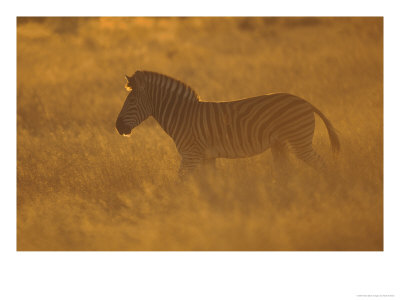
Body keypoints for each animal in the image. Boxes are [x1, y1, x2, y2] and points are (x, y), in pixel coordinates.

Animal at [116, 71, 340, 176]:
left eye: (132, 100)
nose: (118, 127)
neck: (183, 116)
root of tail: (305, 101)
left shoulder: (190, 155)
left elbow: (180, 182)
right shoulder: (206, 157)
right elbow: (210, 185)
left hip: (300, 143)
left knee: (322, 166)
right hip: (280, 145)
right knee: (287, 173)